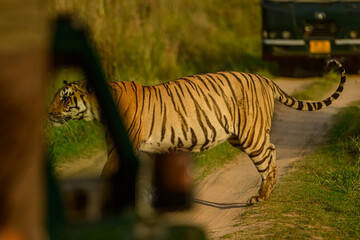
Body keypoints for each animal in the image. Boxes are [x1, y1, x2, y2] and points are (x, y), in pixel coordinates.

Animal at [47, 59, 346, 204]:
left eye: (65, 98)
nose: (48, 113)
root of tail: (263, 78)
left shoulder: (118, 153)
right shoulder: (145, 152)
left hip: (251, 135)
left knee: (268, 159)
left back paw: (261, 197)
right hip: (240, 136)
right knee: (272, 152)